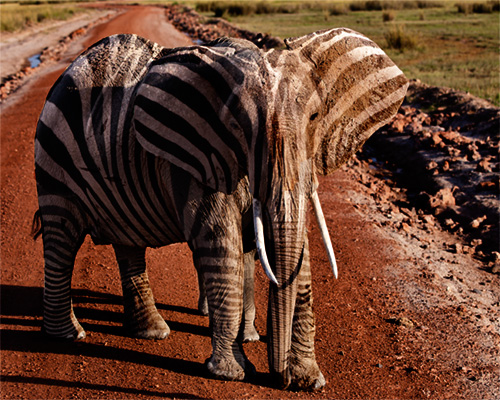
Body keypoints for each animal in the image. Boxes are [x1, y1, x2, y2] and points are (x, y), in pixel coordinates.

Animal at [33, 28, 406, 390]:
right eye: (241, 125)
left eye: (315, 117)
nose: (280, 379)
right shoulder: (199, 161)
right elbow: (221, 243)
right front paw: (233, 373)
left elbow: (299, 256)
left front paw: (310, 379)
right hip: (53, 157)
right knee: (62, 239)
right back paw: (69, 336)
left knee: (128, 243)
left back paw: (153, 332)